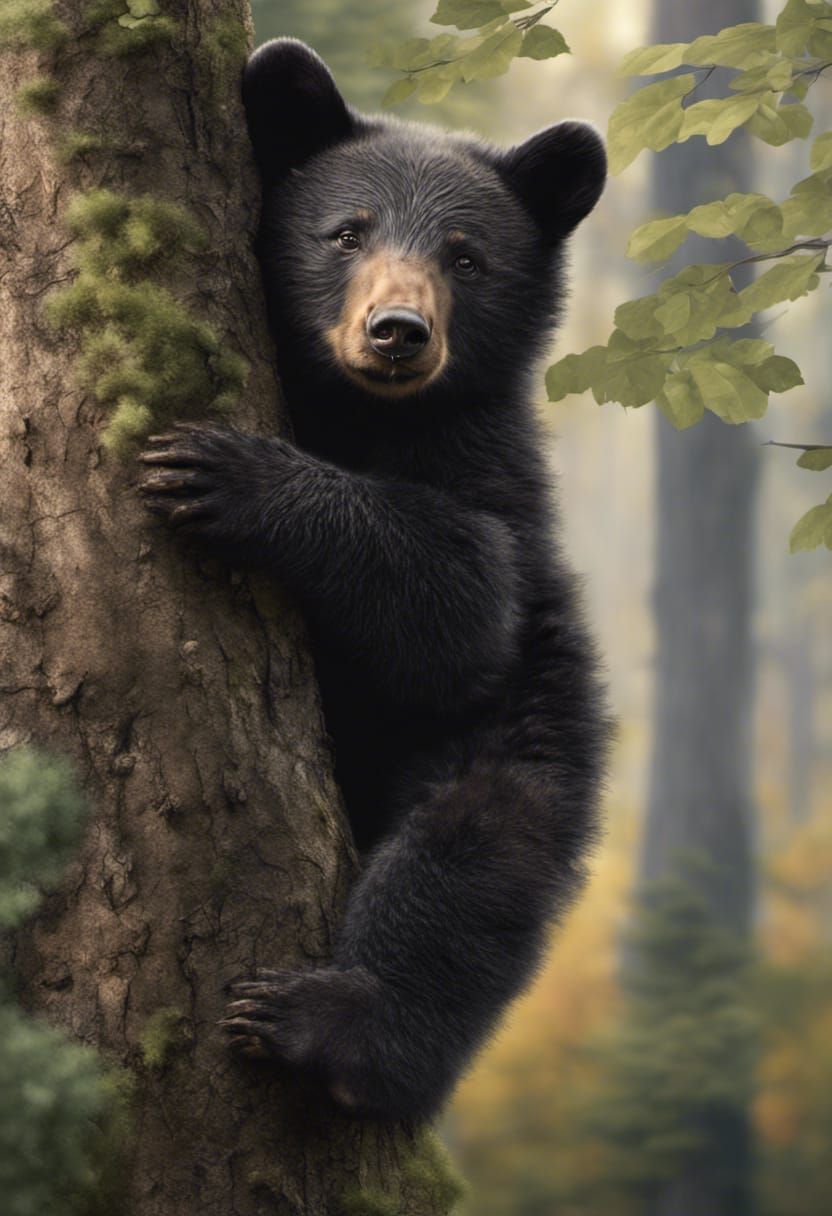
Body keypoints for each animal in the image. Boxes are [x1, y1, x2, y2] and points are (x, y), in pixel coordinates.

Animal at [138, 37, 610, 1124]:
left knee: (468, 861)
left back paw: (334, 1025)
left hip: (528, 730)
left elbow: (462, 596)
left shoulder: (489, 479)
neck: (357, 412)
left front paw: (226, 473)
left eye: (466, 256)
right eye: (346, 232)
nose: (398, 330)